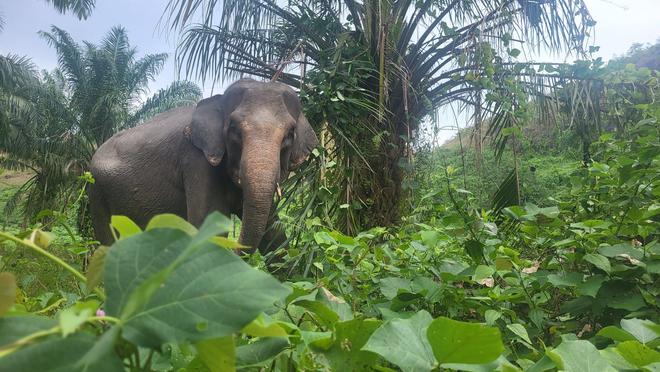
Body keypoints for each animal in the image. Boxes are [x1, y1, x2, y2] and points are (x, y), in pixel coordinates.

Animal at [89, 78, 320, 253]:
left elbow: (274, 234)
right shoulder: (196, 160)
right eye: (234, 130)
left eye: (289, 134)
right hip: (97, 192)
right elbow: (208, 226)